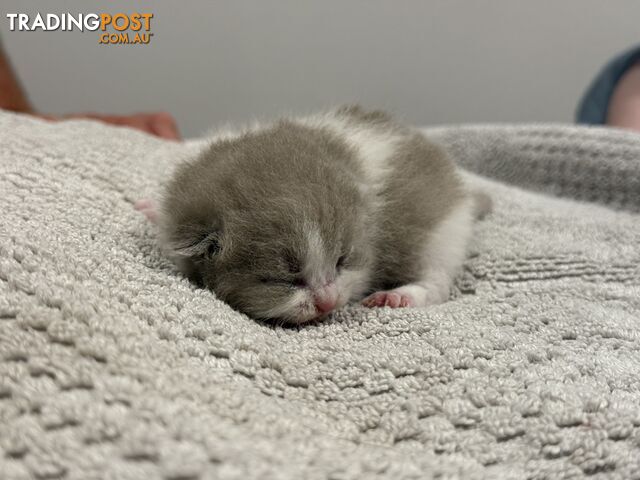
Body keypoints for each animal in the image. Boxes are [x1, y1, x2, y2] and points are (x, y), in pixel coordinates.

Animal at [139, 104, 490, 322]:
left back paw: (402, 295)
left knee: (438, 278)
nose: (328, 302)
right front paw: (153, 208)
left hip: (442, 232)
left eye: (342, 261)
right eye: (283, 280)